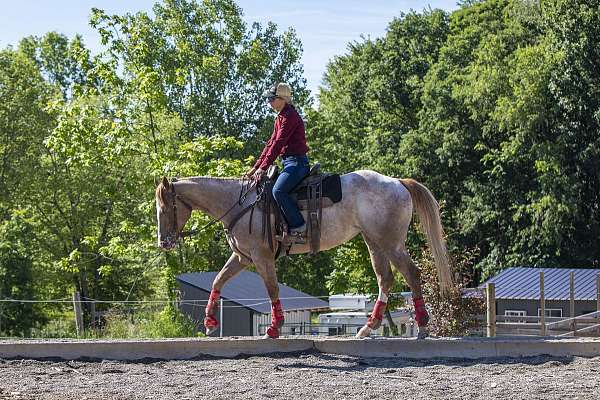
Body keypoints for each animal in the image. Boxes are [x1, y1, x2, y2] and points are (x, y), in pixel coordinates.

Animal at [155, 170, 450, 340]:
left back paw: (423, 325)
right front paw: (209, 322)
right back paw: (368, 327)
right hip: (374, 242)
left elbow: (272, 288)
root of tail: (398, 182)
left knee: (411, 273)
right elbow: (218, 280)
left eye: (165, 207)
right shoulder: (243, 257)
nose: (164, 242)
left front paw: (274, 328)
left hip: (390, 243)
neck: (239, 203)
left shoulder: (260, 256)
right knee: (385, 279)